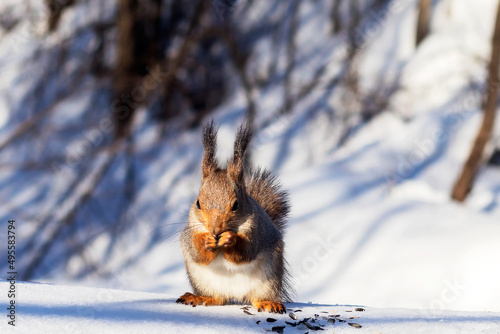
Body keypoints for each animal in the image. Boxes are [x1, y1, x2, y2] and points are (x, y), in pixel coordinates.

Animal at [177, 121, 292, 314]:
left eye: (236, 205)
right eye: (198, 203)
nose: (215, 231)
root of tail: (236, 295)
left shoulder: (256, 232)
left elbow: (245, 253)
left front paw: (230, 239)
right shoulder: (191, 232)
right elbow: (198, 253)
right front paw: (206, 240)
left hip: (269, 279)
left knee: (258, 297)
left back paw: (268, 303)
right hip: (202, 281)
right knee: (218, 298)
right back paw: (201, 297)